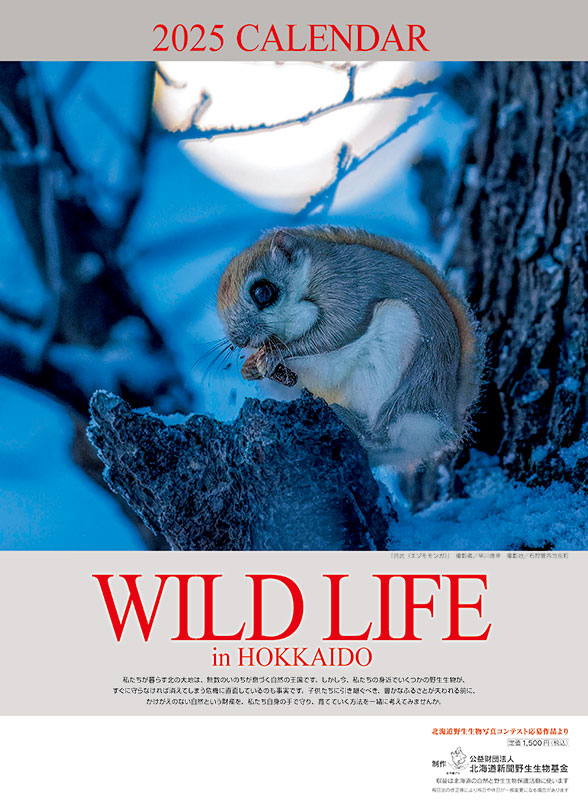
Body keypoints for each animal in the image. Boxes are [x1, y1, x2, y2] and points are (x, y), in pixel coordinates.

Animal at [217, 225, 482, 472]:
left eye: (262, 292)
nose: (239, 340)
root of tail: (446, 419)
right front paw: (249, 367)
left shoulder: (345, 287)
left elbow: (339, 329)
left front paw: (277, 353)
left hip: (398, 349)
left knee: (384, 436)